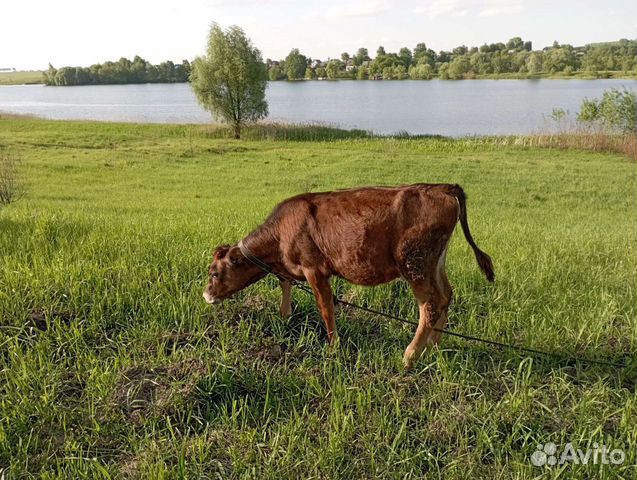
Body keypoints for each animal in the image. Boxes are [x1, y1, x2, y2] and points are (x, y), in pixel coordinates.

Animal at [204, 184, 492, 368]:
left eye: (215, 272)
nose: (206, 295)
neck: (280, 237)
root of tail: (442, 187)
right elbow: (285, 283)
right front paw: (284, 316)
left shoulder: (315, 269)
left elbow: (325, 308)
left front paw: (334, 346)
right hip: (434, 262)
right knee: (445, 297)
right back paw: (434, 347)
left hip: (415, 263)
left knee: (429, 306)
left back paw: (410, 356)